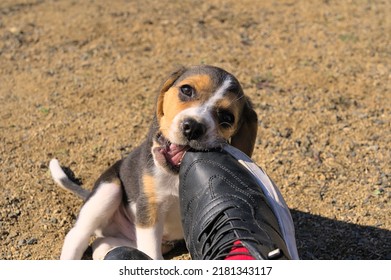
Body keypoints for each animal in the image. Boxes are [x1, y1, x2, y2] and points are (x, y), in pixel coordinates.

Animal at [49, 64, 260, 260]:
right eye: (186, 90)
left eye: (227, 118)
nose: (193, 127)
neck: (175, 175)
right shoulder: (150, 207)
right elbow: (151, 252)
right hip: (108, 190)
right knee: (77, 236)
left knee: (101, 243)